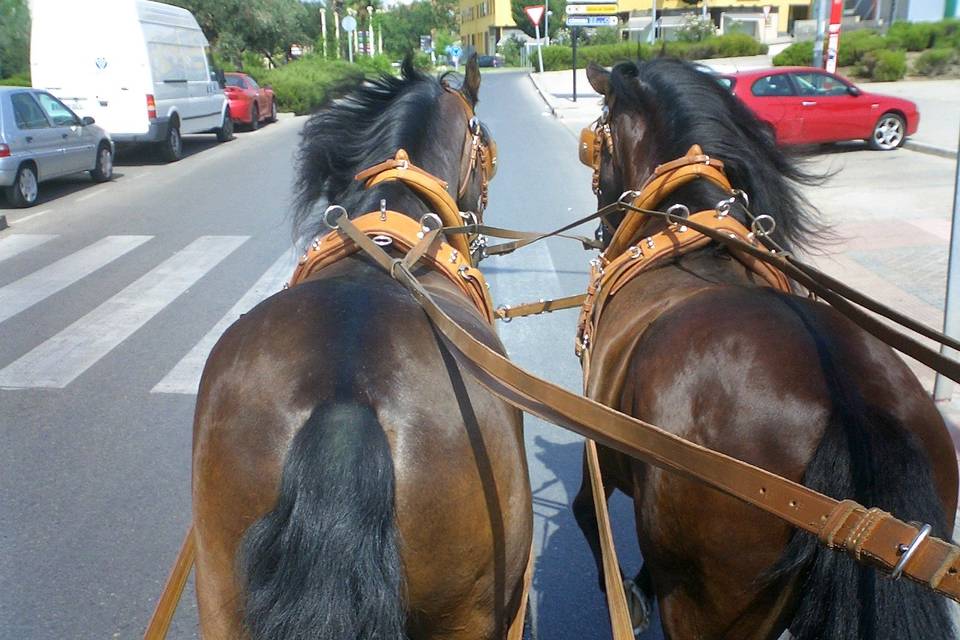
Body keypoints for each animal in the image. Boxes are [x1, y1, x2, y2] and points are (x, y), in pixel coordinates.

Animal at [572, 60, 956, 640]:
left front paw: (627, 594)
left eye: (595, 146)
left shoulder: (604, 450)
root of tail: (854, 405)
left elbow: (585, 514)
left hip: (706, 598)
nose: (604, 225)